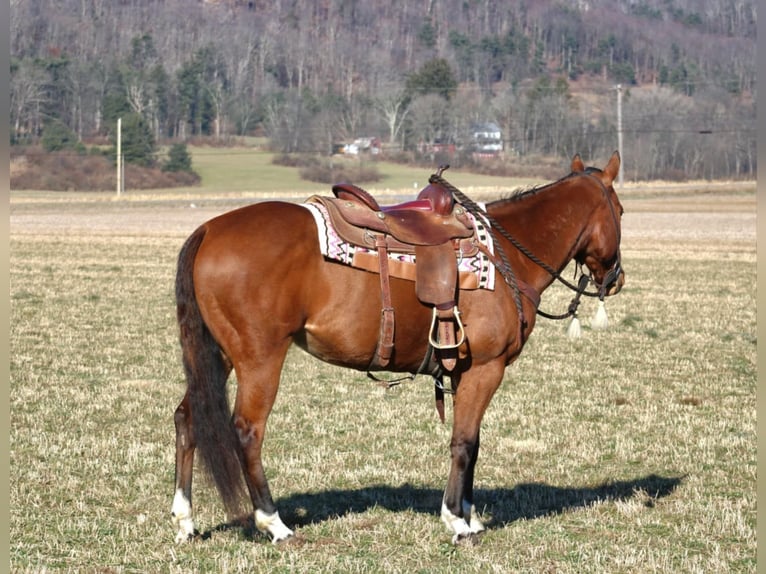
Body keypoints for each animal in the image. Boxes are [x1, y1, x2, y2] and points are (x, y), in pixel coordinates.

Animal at [171, 151, 628, 548]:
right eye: (621, 212)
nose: (617, 279)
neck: (506, 255)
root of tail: (209, 230)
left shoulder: (464, 372)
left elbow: (473, 443)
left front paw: (471, 516)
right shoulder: (486, 368)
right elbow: (464, 443)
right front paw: (457, 521)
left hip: (219, 356)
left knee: (187, 418)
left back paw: (185, 521)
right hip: (260, 357)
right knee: (248, 431)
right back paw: (274, 523)